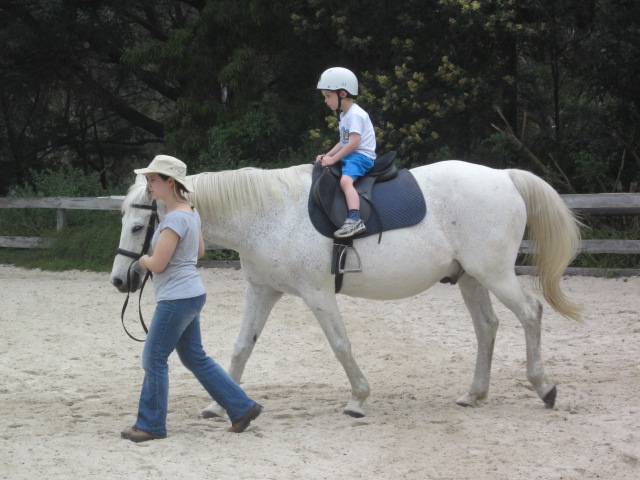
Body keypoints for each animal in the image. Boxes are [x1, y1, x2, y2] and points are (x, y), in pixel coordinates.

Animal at [110, 159, 580, 418]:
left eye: (137, 226)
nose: (120, 280)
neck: (269, 215)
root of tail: (504, 176)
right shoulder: (262, 291)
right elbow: (242, 348)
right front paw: (217, 406)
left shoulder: (317, 294)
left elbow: (340, 345)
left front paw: (358, 399)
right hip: (471, 279)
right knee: (487, 327)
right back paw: (473, 394)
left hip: (494, 273)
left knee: (530, 314)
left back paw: (544, 387)